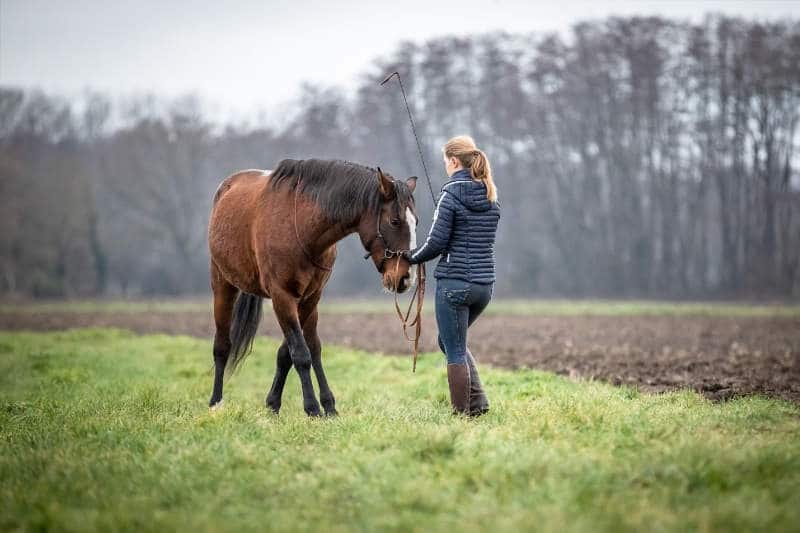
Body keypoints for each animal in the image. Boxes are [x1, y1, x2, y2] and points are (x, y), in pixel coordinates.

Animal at [206, 157, 418, 416]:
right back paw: (216, 402)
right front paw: (313, 408)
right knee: (221, 346)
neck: (303, 228)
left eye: (416, 222)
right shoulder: (282, 297)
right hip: (222, 285)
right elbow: (301, 353)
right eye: (395, 221)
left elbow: (302, 350)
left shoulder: (310, 298)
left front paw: (293, 404)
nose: (405, 278)